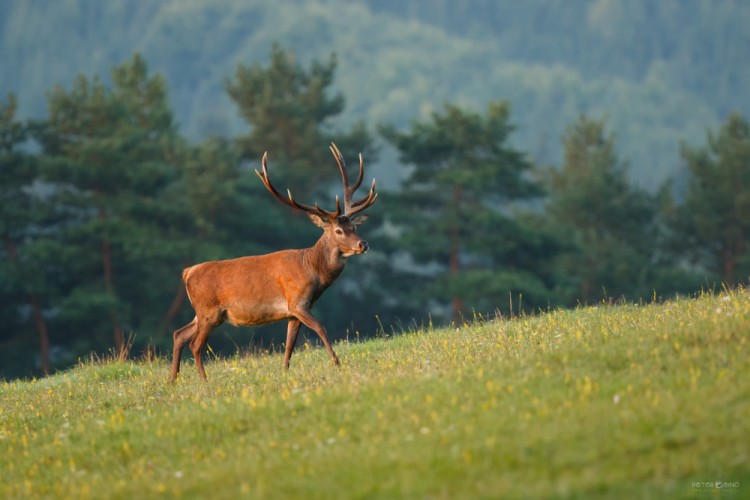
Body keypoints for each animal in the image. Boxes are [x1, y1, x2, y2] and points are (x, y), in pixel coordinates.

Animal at [173, 143, 378, 380]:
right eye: (338, 231)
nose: (363, 244)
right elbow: (321, 328)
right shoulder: (297, 301)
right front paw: (337, 363)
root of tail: (187, 272)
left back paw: (172, 380)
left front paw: (284, 371)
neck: (313, 270)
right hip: (209, 311)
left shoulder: (294, 311)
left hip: (203, 313)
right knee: (195, 345)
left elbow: (290, 343)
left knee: (179, 334)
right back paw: (204, 382)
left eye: (353, 227)